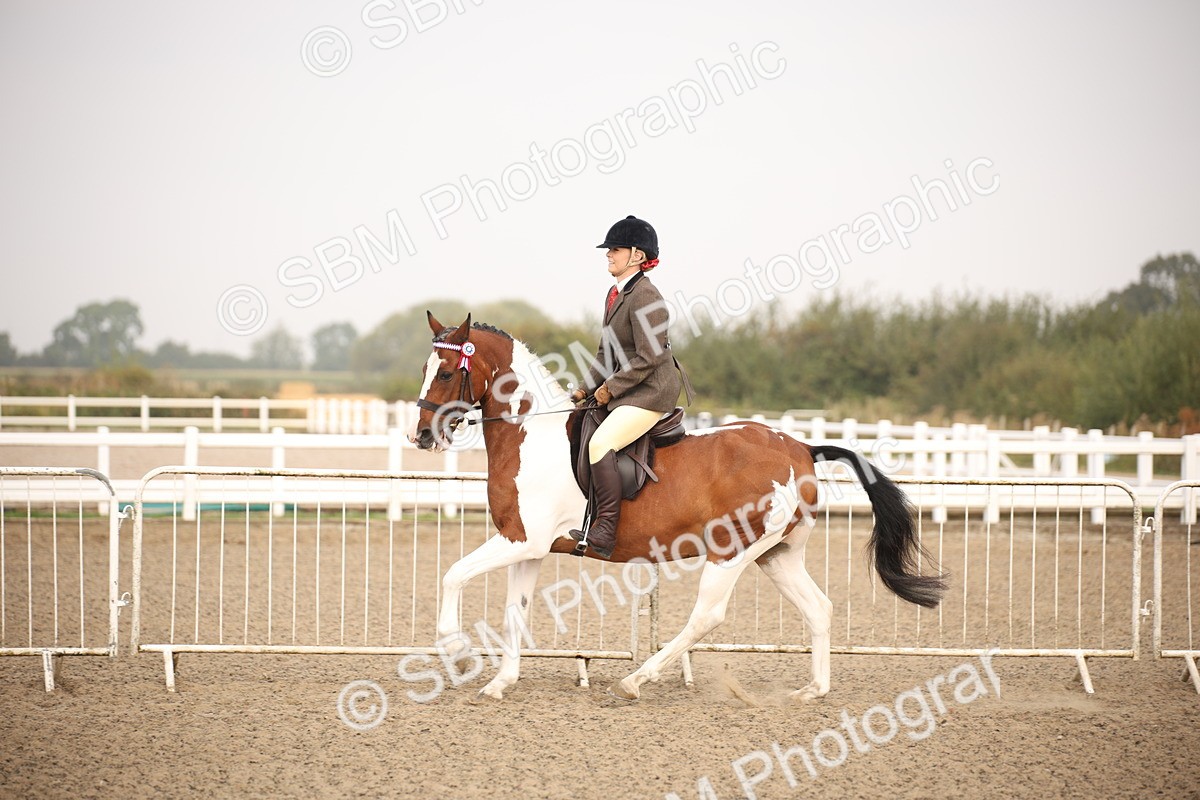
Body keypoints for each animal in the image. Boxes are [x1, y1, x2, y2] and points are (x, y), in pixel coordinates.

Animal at [411, 312, 946, 701]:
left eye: (445, 372)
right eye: (424, 370)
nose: (421, 437)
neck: (531, 435)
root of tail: (799, 447)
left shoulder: (521, 539)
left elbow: (452, 575)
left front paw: (457, 651)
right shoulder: (531, 548)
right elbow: (513, 612)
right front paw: (500, 682)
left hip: (731, 550)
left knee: (707, 616)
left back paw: (636, 680)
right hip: (777, 554)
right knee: (818, 608)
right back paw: (812, 690)